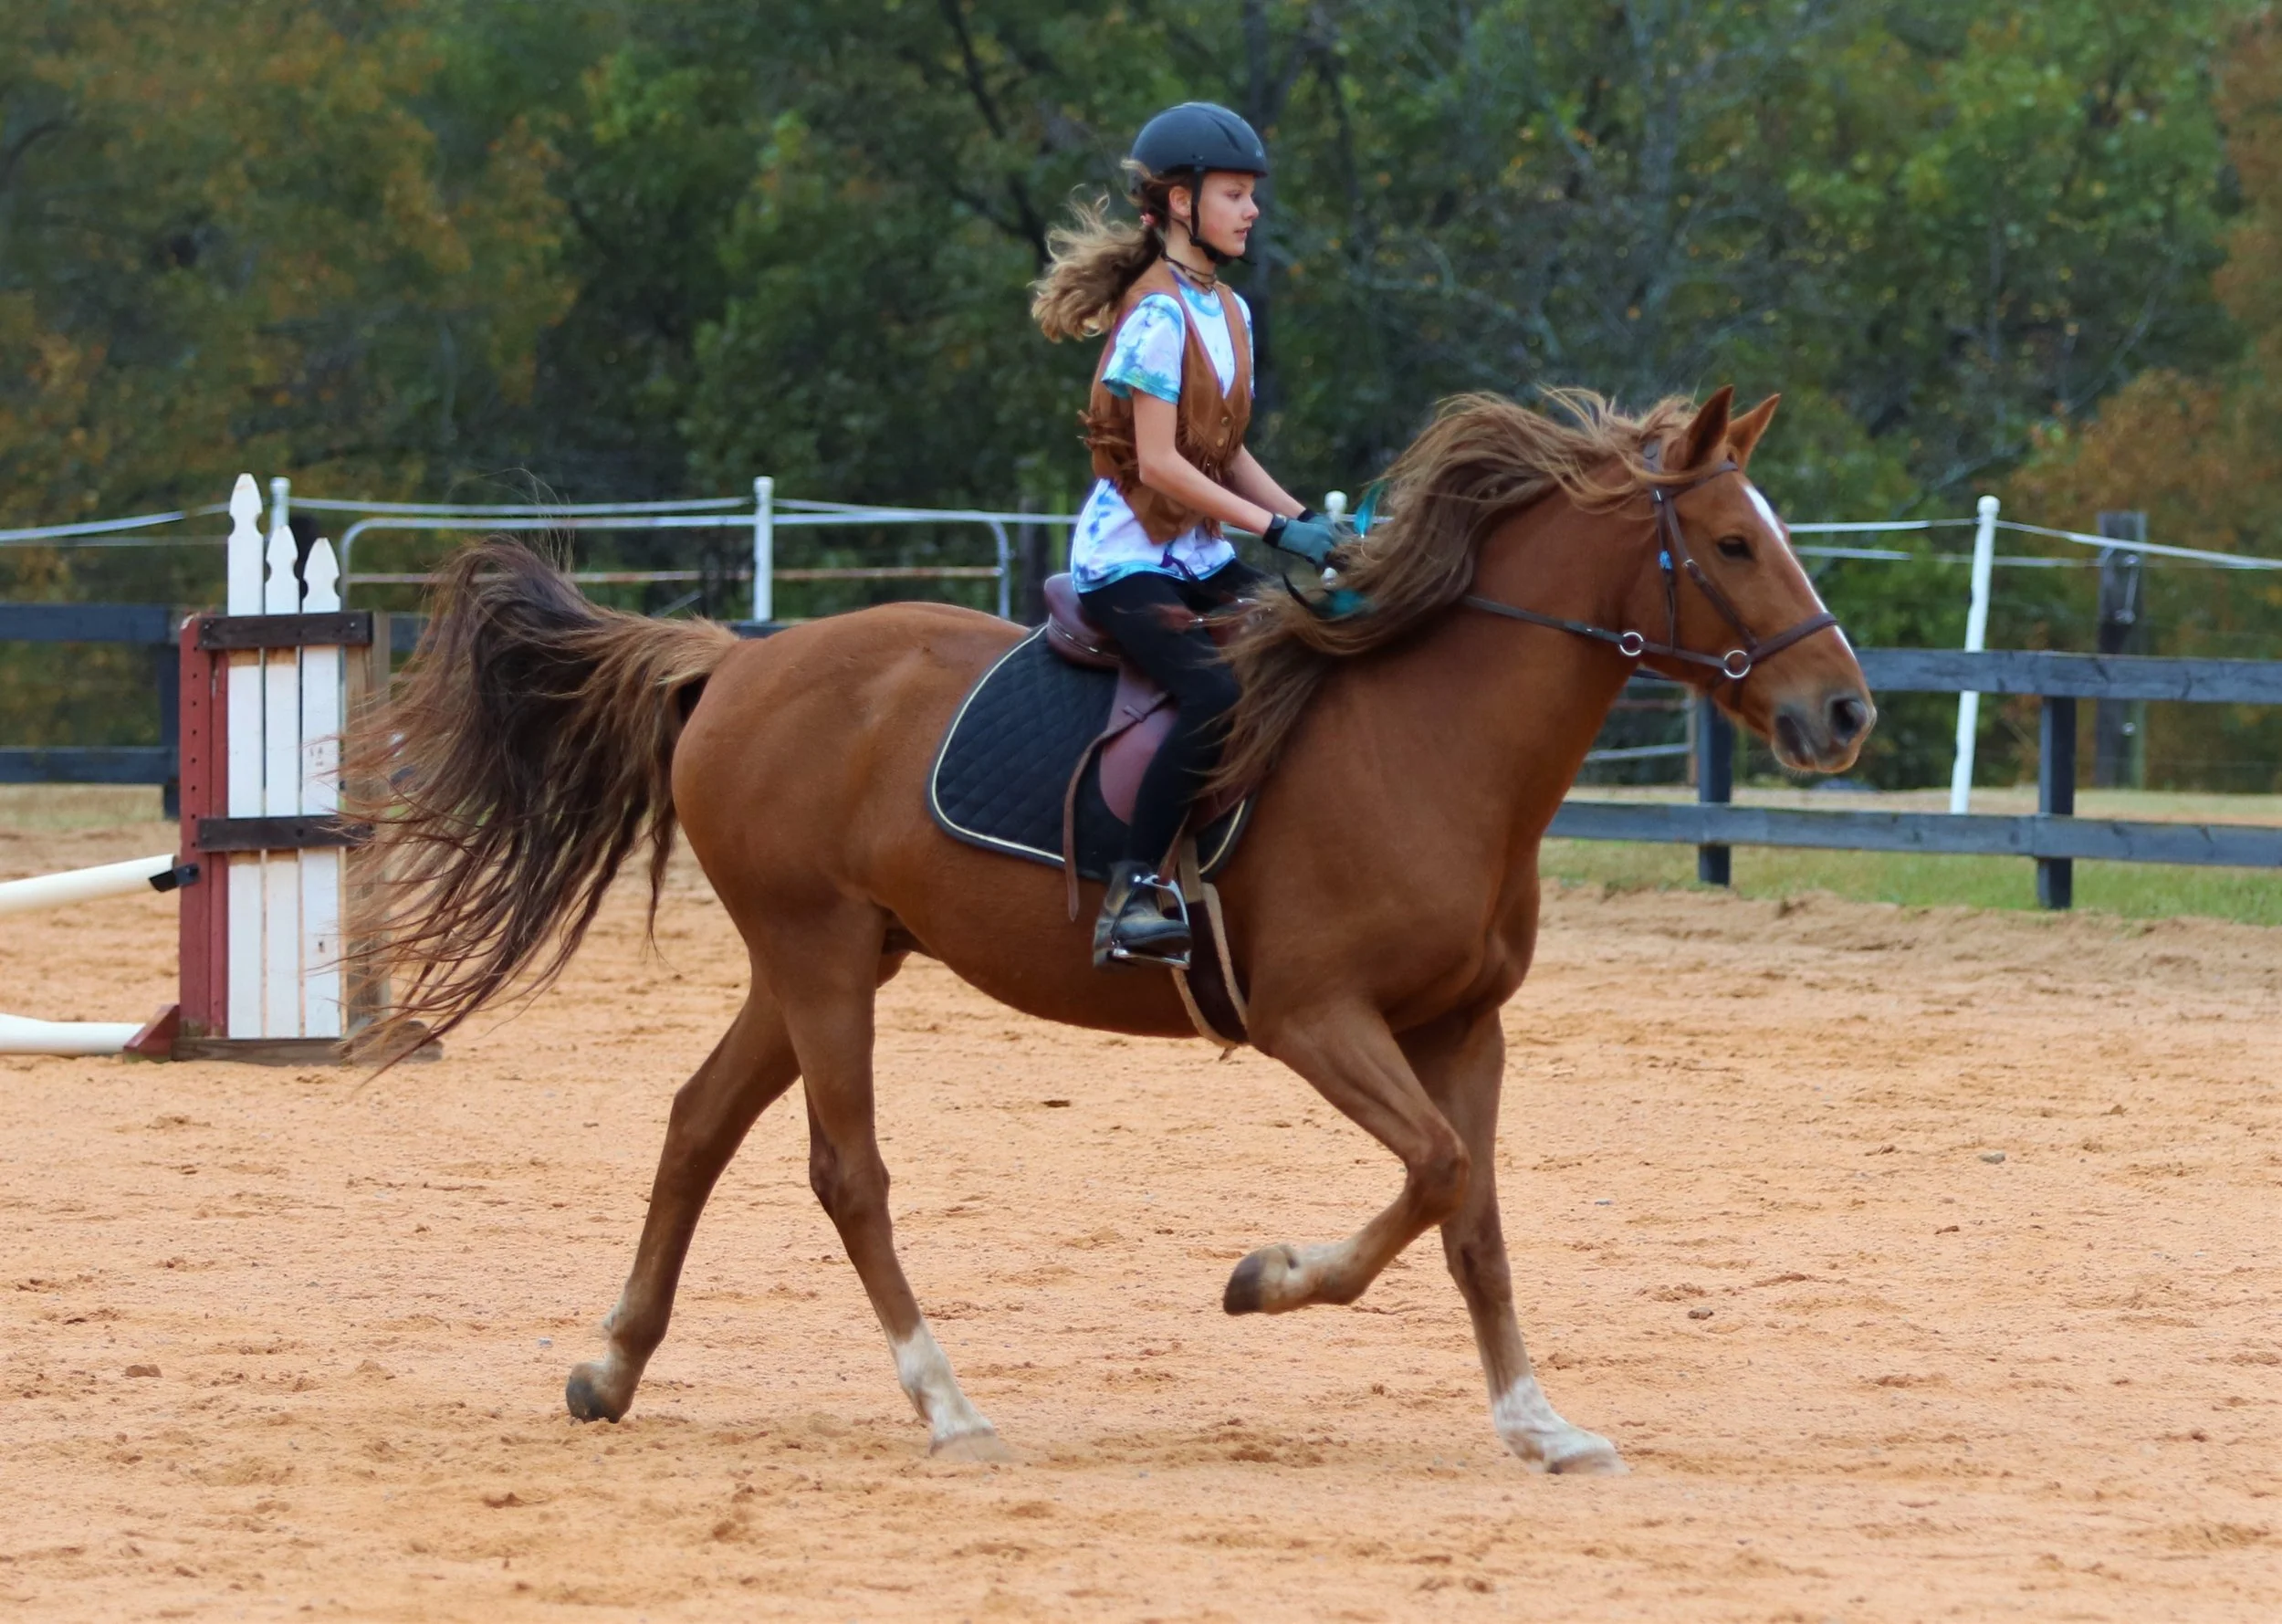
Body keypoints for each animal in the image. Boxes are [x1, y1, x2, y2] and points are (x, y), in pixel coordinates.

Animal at [348, 385, 1873, 1475]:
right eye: (1732, 543)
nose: (1846, 710)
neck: (1434, 742)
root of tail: (737, 661)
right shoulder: (1317, 1019)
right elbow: (1437, 1173)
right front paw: (1266, 1279)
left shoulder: (1461, 1026)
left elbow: (1473, 1214)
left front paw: (1537, 1420)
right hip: (821, 957)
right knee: (847, 1172)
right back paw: (946, 1403)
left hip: (821, 959)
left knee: (695, 1123)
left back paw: (611, 1366)